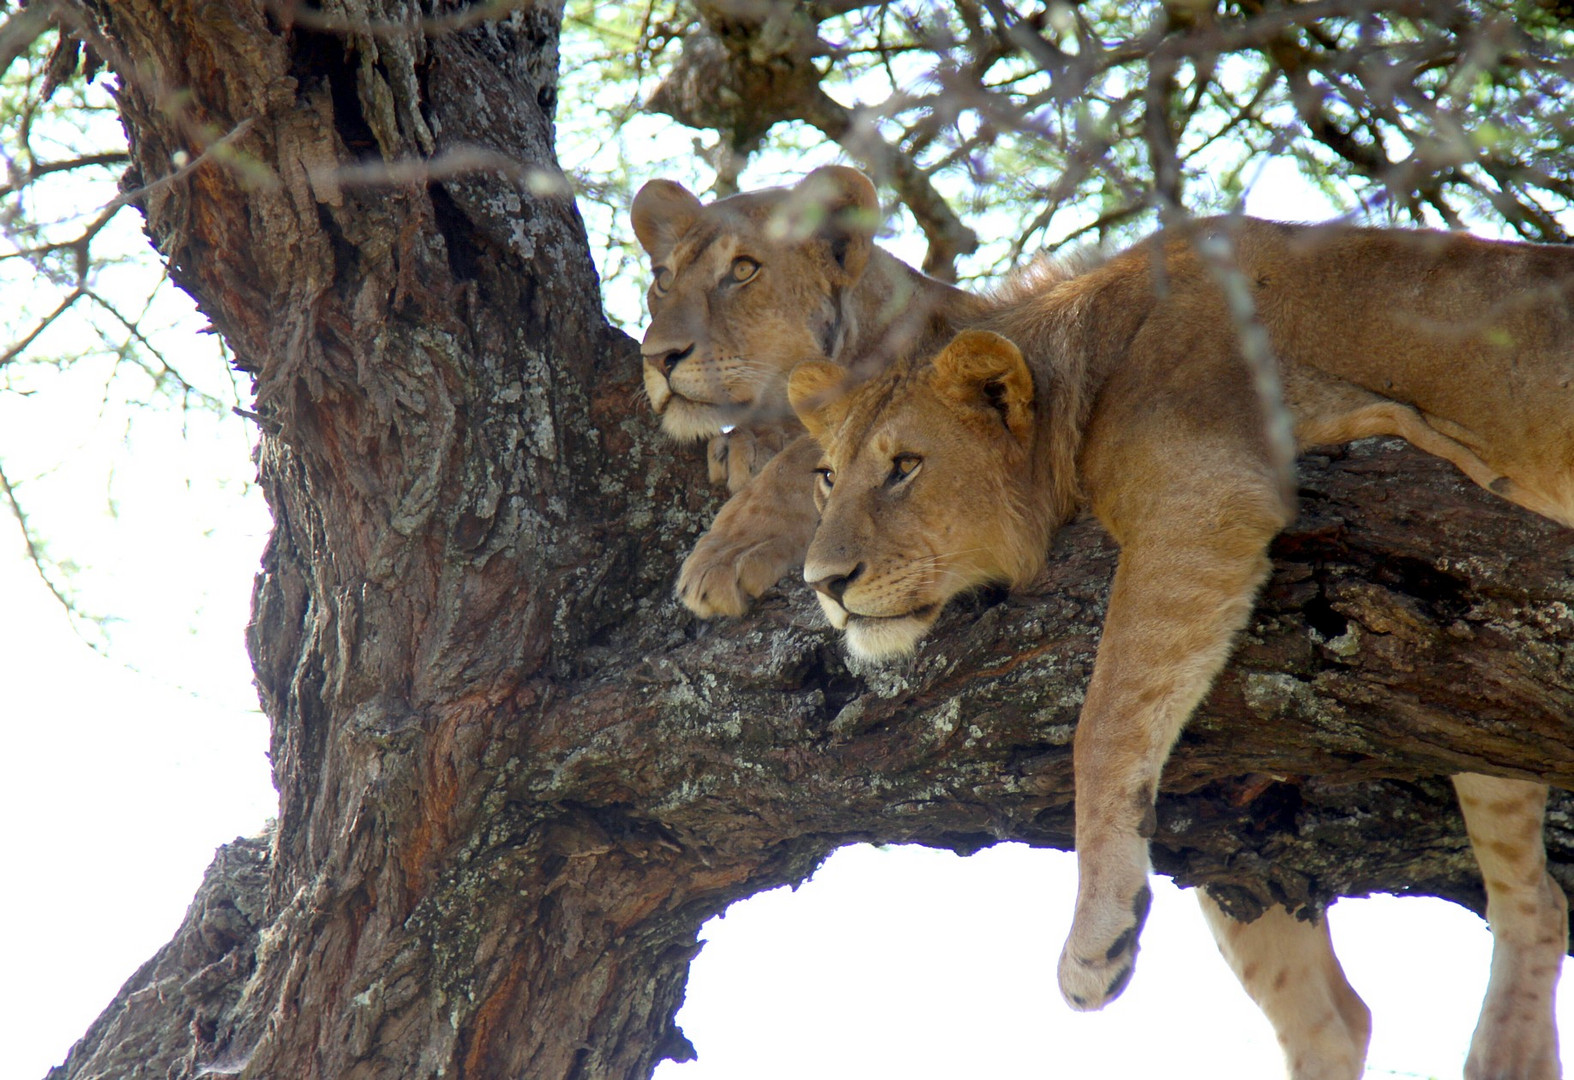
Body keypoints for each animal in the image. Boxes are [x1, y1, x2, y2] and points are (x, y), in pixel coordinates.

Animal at [793, 217, 1574, 1076]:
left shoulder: (1209, 496)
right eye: (827, 477)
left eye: (904, 467)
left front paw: (1098, 936)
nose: (823, 581)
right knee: (1455, 948)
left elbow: (1104, 720)